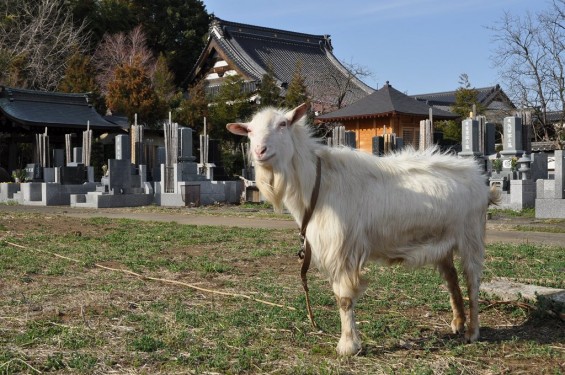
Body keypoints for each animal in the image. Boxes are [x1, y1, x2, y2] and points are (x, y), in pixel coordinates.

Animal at [225, 103, 498, 356]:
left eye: (283, 124)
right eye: (249, 131)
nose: (260, 151)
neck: (318, 184)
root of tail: (480, 180)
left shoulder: (343, 249)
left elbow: (344, 299)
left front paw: (348, 345)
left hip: (472, 236)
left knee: (473, 281)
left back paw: (472, 332)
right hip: (444, 243)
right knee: (452, 278)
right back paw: (458, 323)